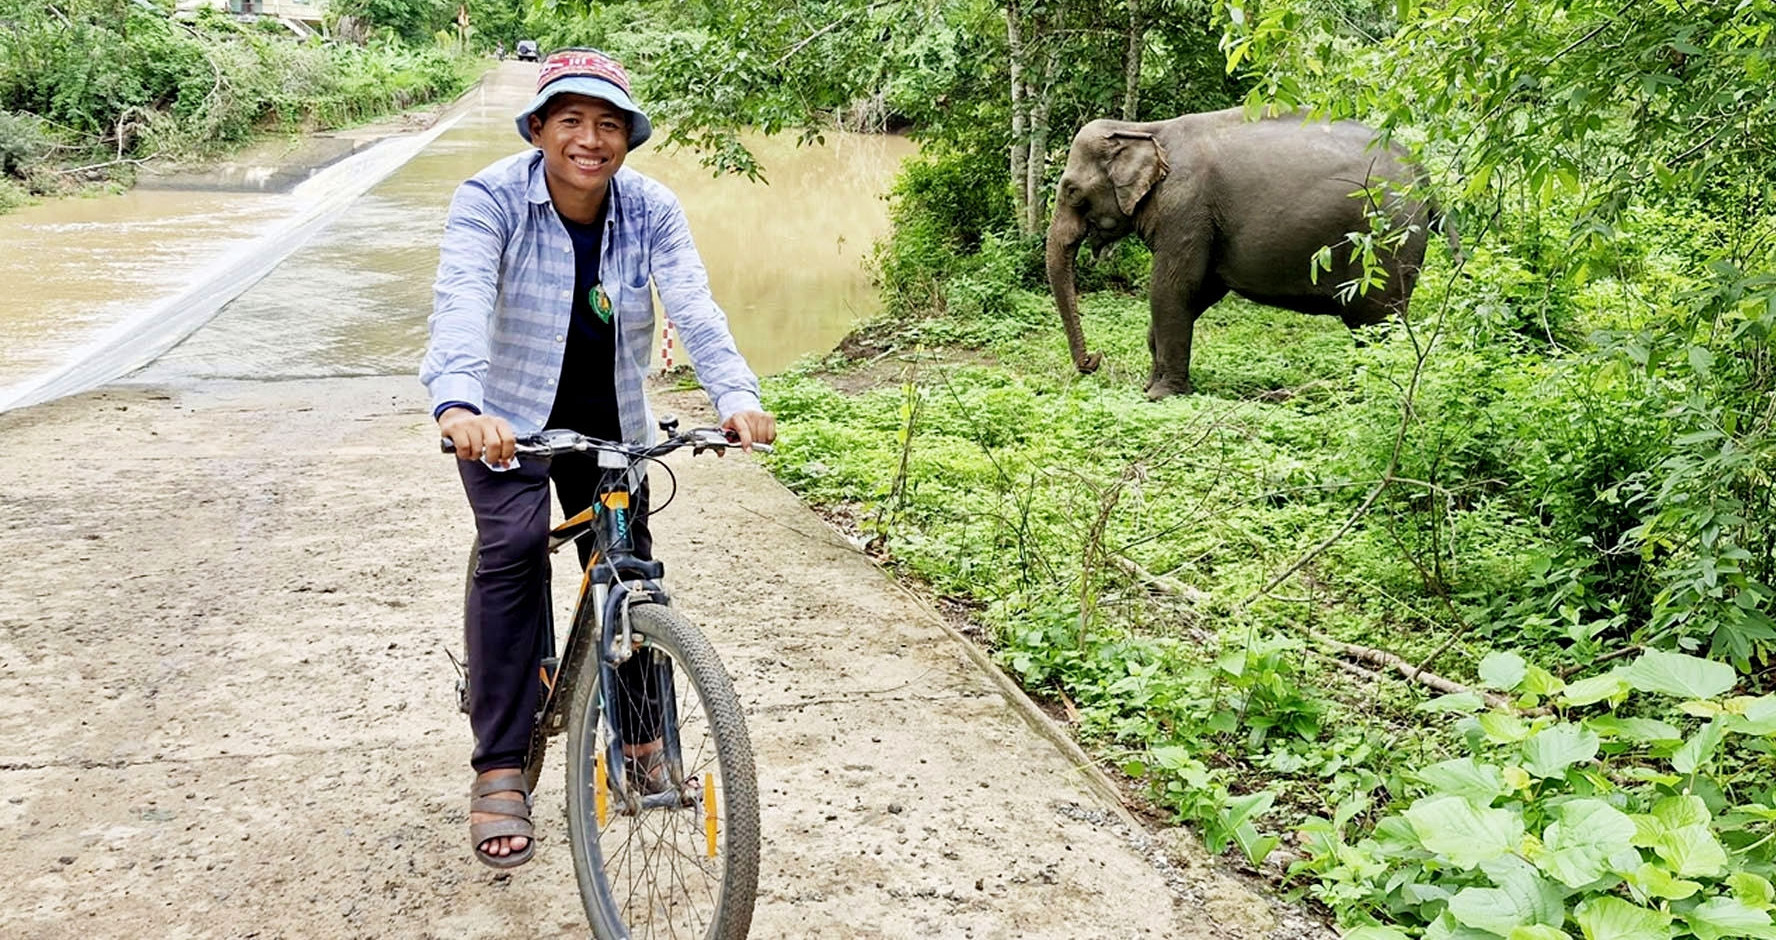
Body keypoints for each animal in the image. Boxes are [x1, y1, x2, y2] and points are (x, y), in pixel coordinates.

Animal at [1046, 108, 1455, 399]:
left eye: (1071, 191)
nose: (1093, 361)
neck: (1143, 128)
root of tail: (1424, 175)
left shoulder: (1186, 208)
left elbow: (1173, 287)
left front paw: (1159, 395)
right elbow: (1202, 289)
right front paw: (1151, 384)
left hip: (1386, 242)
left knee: (1375, 322)